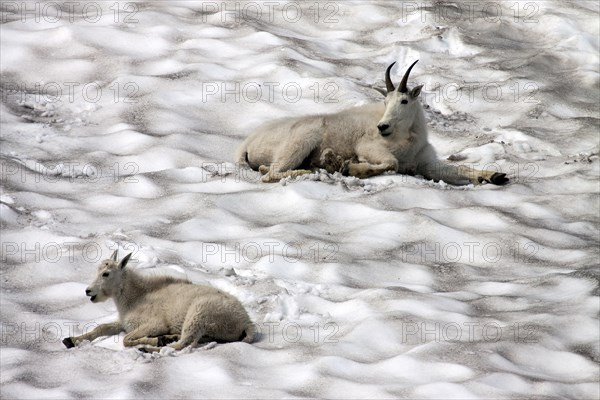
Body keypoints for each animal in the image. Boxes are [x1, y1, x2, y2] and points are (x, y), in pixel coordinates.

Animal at [63, 252, 255, 352]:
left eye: (106, 274)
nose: (88, 291)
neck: (135, 298)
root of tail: (246, 322)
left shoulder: (154, 324)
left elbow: (126, 339)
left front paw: (153, 341)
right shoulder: (124, 322)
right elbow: (101, 328)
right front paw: (70, 340)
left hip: (198, 313)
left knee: (182, 344)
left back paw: (155, 345)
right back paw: (168, 338)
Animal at [234, 60, 506, 185]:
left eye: (404, 100)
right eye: (385, 101)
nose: (382, 127)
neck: (408, 139)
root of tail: (247, 144)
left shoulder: (426, 163)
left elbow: (460, 169)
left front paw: (495, 175)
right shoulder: (368, 147)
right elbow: (391, 163)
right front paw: (352, 168)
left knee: (266, 170)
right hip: (302, 138)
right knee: (271, 173)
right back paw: (315, 169)